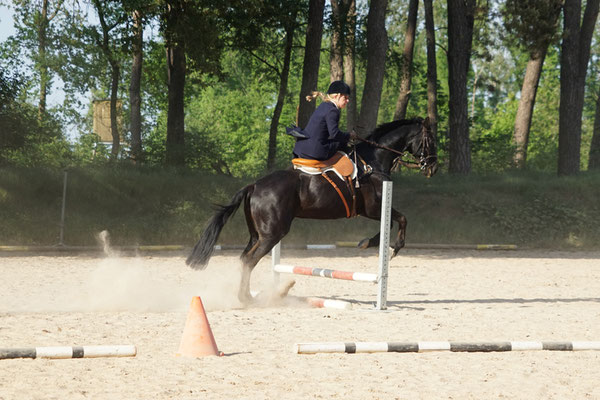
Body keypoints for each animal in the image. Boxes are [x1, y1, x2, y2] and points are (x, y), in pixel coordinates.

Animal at [185, 117, 438, 302]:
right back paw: (246, 298)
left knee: (244, 258)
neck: (374, 161)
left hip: (258, 234)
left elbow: (396, 220)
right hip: (272, 234)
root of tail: (254, 185)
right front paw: (387, 247)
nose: (432, 168)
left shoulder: (374, 210)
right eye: (431, 140)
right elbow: (400, 219)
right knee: (249, 260)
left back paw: (251, 296)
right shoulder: (374, 208)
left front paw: (372, 243)